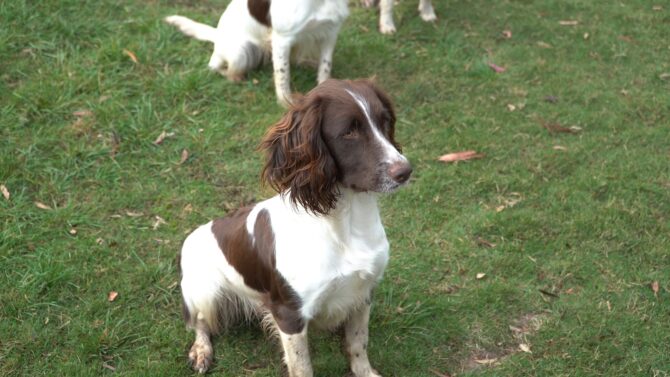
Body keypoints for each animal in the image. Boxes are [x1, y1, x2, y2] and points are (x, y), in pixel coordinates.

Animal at [165, 0, 350, 106]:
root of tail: (217, 37)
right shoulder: (282, 39)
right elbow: (283, 75)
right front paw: (286, 103)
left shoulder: (331, 32)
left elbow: (325, 67)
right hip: (242, 51)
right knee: (220, 69)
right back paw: (238, 78)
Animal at [181, 78, 418, 374]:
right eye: (349, 132)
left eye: (385, 122)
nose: (405, 171)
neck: (346, 223)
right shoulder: (289, 314)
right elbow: (302, 367)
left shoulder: (364, 292)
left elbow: (358, 344)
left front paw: (365, 372)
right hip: (205, 289)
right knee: (199, 321)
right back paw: (201, 351)